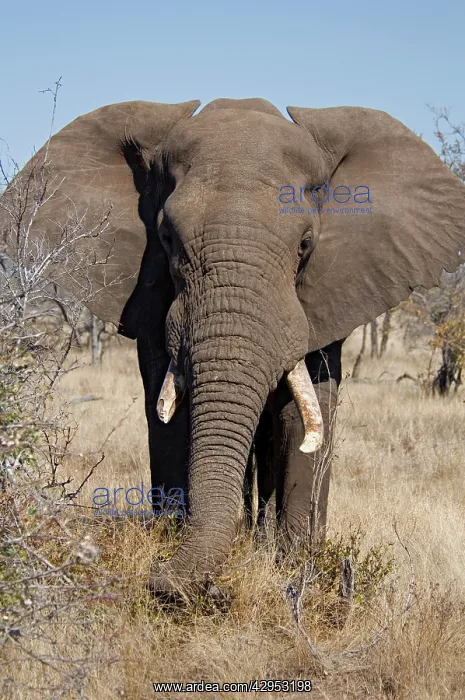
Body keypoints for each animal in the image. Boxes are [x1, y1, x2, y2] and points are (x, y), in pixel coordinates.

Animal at [2, 97, 465, 599]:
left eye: (306, 244)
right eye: (167, 239)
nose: (158, 579)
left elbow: (303, 416)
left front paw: (297, 568)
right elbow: (170, 414)